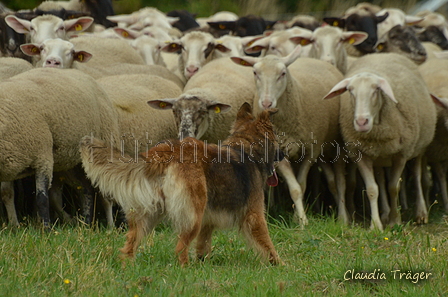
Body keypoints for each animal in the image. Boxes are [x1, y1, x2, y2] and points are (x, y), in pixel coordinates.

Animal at [0, 67, 119, 225]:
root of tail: (78, 72)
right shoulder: (10, 163)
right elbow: (6, 193)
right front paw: (14, 225)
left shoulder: (43, 157)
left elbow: (42, 199)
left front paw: (45, 228)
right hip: (73, 161)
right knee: (86, 188)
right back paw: (86, 223)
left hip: (106, 144)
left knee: (106, 196)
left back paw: (110, 226)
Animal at [77, 103, 280, 264]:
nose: (284, 154)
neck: (247, 147)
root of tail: (166, 151)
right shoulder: (254, 214)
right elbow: (267, 243)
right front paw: (278, 265)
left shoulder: (208, 220)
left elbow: (203, 244)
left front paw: (203, 261)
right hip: (192, 214)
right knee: (180, 247)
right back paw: (186, 269)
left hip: (150, 213)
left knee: (130, 243)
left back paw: (128, 265)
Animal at [233, 45, 348, 224]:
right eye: (255, 72)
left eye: (283, 73)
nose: (266, 103)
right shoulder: (278, 151)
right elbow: (294, 188)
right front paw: (299, 217)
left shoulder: (312, 150)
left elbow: (301, 185)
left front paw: (301, 219)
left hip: (337, 145)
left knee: (340, 182)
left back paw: (343, 218)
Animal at [324, 52, 436, 229]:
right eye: (350, 91)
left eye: (376, 90)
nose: (361, 122)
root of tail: (382, 53)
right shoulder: (361, 155)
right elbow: (373, 189)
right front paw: (376, 225)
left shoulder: (401, 154)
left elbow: (394, 187)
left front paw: (395, 221)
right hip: (380, 157)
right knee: (381, 181)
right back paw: (384, 214)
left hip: (419, 147)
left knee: (417, 176)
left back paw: (421, 213)